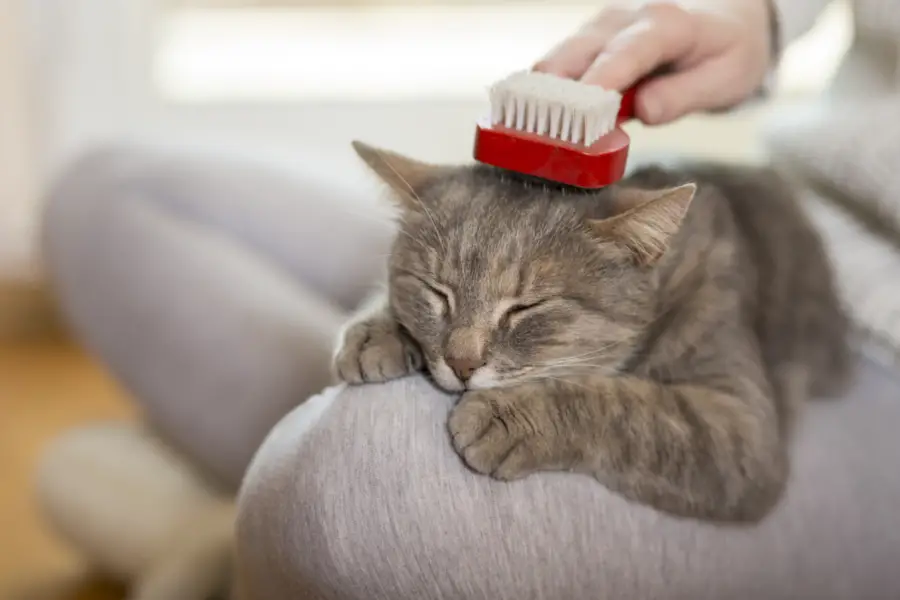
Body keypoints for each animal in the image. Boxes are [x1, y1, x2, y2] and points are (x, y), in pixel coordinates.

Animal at [332, 139, 852, 520]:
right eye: (437, 292)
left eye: (526, 307)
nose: (461, 363)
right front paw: (376, 330)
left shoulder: (739, 429)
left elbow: (626, 407)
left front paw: (510, 417)